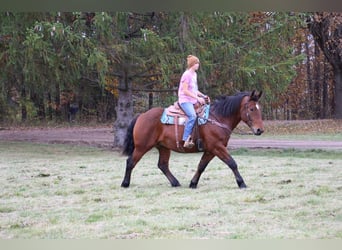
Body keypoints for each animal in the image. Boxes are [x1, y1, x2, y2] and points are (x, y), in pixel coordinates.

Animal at [120, 90, 264, 188]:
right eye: (251, 109)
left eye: (259, 108)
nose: (260, 130)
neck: (218, 118)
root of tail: (142, 115)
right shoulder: (217, 147)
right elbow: (232, 163)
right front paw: (241, 183)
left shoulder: (210, 150)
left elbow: (201, 166)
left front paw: (193, 183)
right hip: (142, 147)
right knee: (131, 162)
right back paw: (125, 183)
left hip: (163, 147)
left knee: (162, 165)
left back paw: (175, 182)